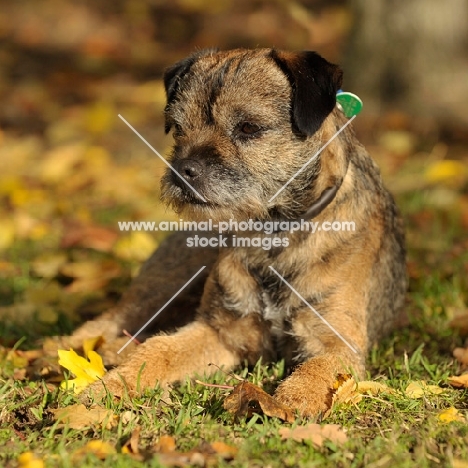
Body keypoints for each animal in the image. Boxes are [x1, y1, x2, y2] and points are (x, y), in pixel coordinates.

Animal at [73, 48, 406, 416]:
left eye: (248, 127)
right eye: (178, 128)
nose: (182, 169)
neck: (273, 237)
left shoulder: (336, 342)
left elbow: (318, 370)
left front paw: (292, 400)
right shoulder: (221, 332)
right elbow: (159, 351)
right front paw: (112, 385)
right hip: (168, 278)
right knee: (110, 321)